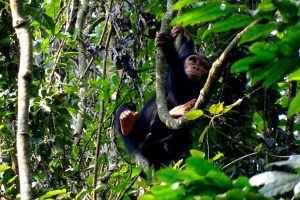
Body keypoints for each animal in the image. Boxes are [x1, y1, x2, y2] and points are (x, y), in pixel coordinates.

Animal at [115, 25, 211, 169]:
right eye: (193, 60)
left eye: (204, 66)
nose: (196, 67)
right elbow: (183, 52)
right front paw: (182, 34)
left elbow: (180, 92)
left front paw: (168, 46)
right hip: (134, 137)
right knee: (127, 109)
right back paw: (126, 120)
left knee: (180, 137)